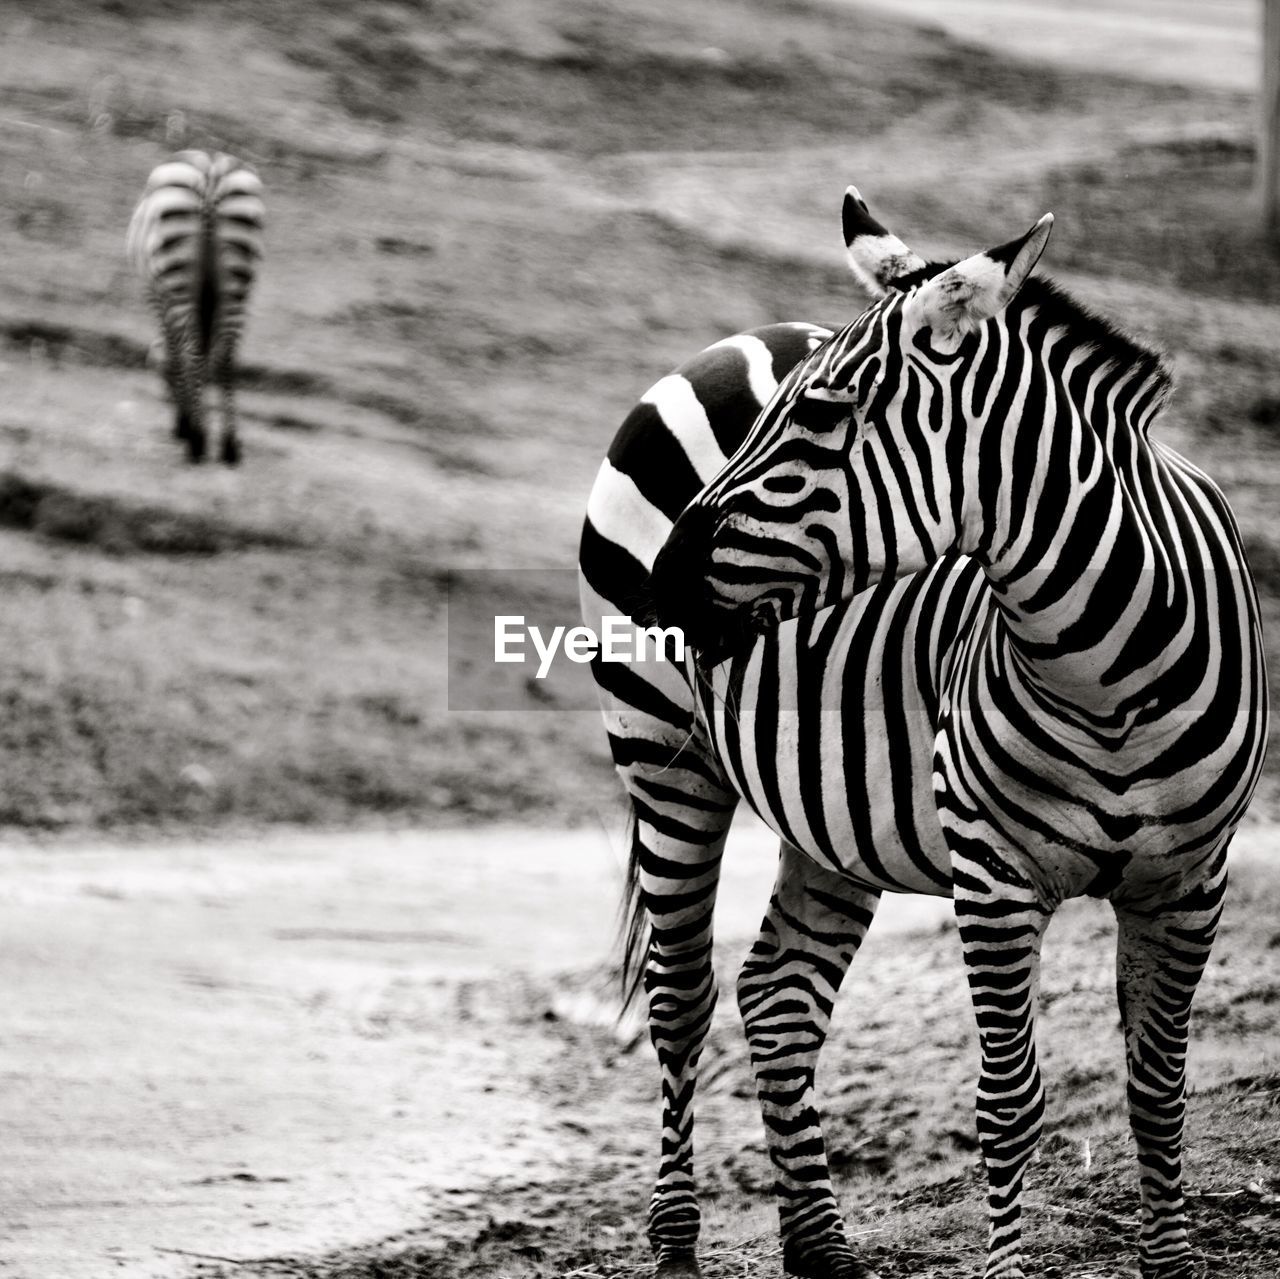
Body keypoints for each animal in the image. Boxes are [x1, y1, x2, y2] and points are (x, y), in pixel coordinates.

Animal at [126, 151, 263, 466]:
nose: (177, 423)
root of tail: (210, 169)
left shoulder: (156, 293)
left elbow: (174, 354)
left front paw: (186, 424)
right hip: (239, 274)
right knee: (225, 355)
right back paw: (229, 445)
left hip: (177, 270)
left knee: (191, 350)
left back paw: (198, 440)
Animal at [581, 192, 1269, 1279]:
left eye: (824, 414)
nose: (660, 585)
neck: (1108, 676)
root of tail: (748, 336)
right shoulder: (992, 876)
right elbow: (1008, 1101)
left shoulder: (1190, 879)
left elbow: (1159, 1091)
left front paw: (1170, 1263)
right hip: (660, 751)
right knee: (679, 996)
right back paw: (678, 1240)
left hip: (828, 804)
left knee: (777, 993)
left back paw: (820, 1245)